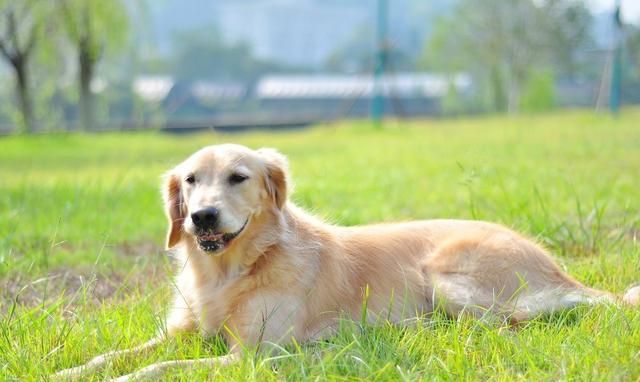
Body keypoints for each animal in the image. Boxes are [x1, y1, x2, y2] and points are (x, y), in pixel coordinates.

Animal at [55, 144, 640, 382]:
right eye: (192, 180)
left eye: (238, 178)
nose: (201, 217)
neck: (230, 273)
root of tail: (560, 270)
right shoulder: (181, 333)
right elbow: (118, 355)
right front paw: (68, 369)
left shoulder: (251, 357)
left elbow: (160, 367)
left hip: (443, 276)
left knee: (505, 328)